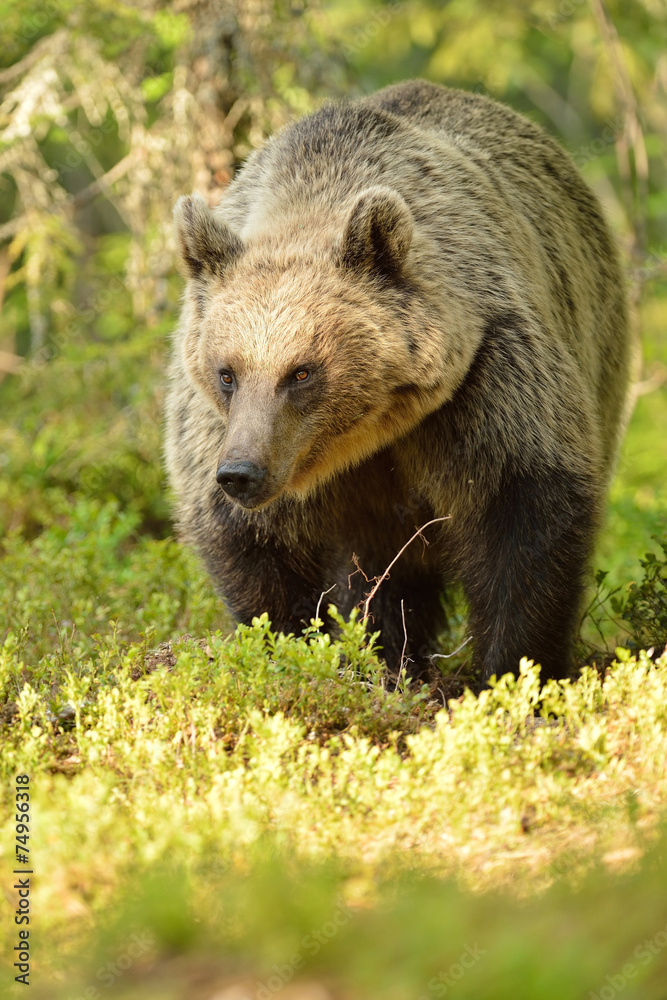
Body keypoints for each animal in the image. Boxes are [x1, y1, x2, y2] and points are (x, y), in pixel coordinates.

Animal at [165, 79, 631, 686]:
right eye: (227, 373)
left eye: (301, 371)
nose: (241, 473)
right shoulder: (214, 430)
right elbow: (253, 551)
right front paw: (291, 645)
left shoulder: (488, 382)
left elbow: (524, 517)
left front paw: (513, 670)